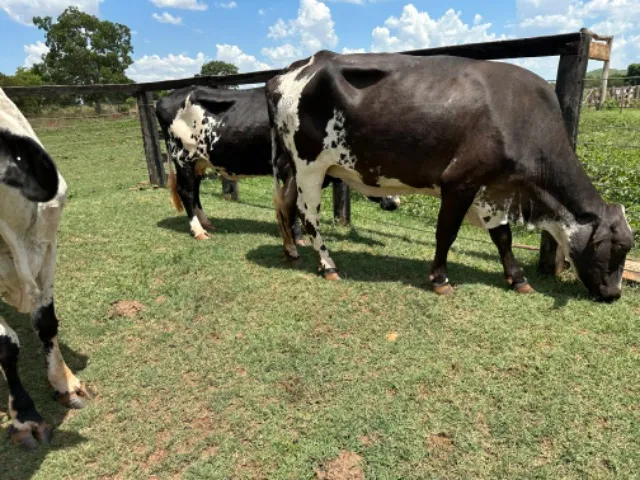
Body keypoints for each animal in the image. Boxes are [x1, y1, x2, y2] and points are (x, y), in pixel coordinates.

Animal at [155, 86, 400, 241]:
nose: (395, 202)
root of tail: (168, 96)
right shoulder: (291, 170)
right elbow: (294, 204)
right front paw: (298, 237)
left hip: (198, 161)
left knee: (195, 191)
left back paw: (206, 223)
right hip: (183, 157)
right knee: (186, 192)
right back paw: (198, 231)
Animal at [266, 51, 634, 302]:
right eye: (616, 249)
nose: (614, 294)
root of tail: (290, 72)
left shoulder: (493, 190)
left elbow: (503, 238)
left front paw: (517, 278)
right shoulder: (460, 182)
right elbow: (446, 233)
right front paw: (440, 279)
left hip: (311, 169)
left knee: (285, 204)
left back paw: (291, 250)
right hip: (310, 166)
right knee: (308, 215)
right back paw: (328, 264)